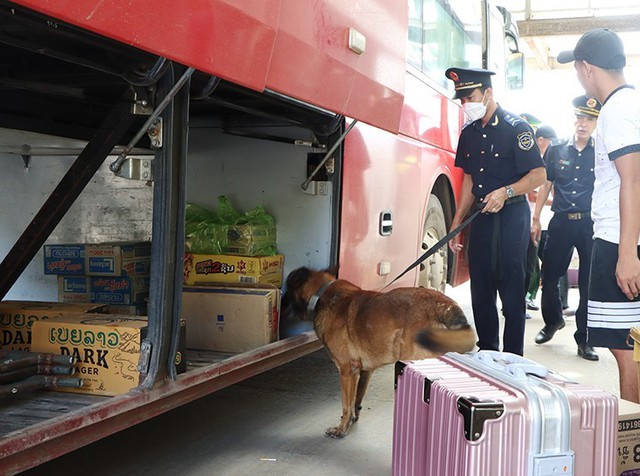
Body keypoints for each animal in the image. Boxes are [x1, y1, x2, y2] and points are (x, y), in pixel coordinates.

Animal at [284, 266, 476, 436]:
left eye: (287, 288)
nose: (282, 303)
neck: (322, 292)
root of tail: (445, 306)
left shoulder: (347, 371)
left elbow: (346, 404)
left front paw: (341, 429)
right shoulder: (364, 372)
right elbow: (355, 401)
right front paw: (352, 420)